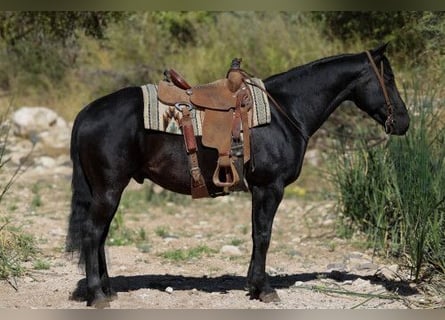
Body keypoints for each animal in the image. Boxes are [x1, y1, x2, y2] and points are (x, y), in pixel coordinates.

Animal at [66, 43, 410, 306]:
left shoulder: (260, 189)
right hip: (109, 189)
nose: (404, 122)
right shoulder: (270, 187)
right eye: (388, 78)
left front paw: (252, 285)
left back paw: (108, 289)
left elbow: (257, 234)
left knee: (100, 236)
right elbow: (264, 235)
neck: (285, 111)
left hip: (107, 190)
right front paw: (264, 288)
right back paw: (97, 295)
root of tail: (86, 112)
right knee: (92, 234)